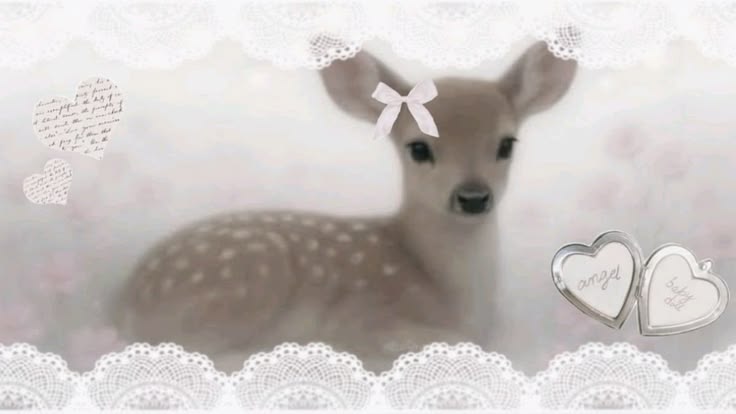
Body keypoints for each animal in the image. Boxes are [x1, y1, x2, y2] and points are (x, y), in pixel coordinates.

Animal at [112, 41, 577, 373]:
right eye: (418, 148)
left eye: (506, 144)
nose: (473, 197)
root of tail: (124, 302)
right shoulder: (364, 316)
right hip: (248, 278)